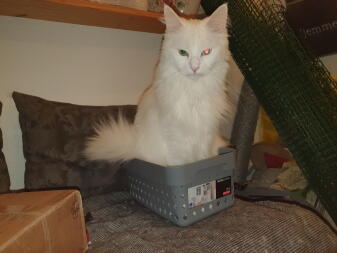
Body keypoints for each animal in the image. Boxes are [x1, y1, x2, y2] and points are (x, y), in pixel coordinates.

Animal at [84, 4, 234, 166]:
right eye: (182, 53)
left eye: (206, 52)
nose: (194, 67)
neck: (193, 93)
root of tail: (136, 145)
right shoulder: (175, 142)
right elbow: (179, 164)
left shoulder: (205, 140)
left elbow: (202, 161)